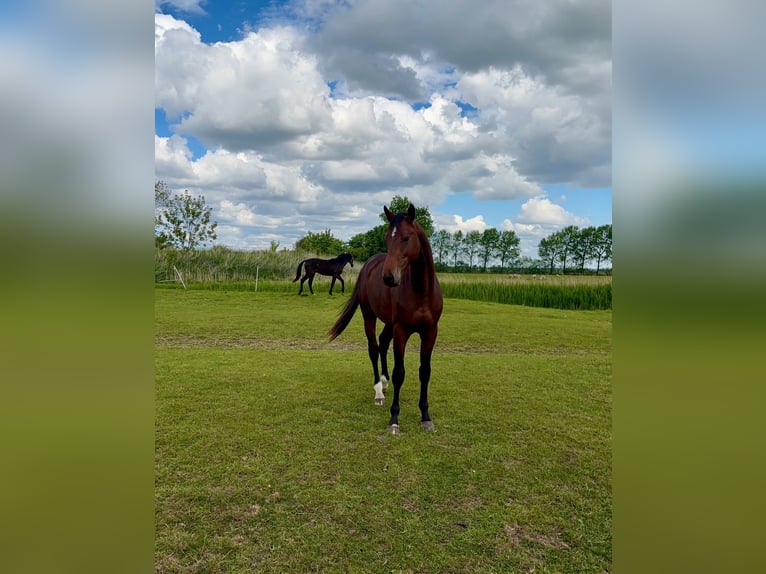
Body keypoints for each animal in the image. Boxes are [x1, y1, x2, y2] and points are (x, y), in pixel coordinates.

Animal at [328, 204, 443, 434]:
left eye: (406, 237)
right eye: (387, 239)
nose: (388, 277)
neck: (422, 292)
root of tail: (368, 265)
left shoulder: (430, 332)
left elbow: (425, 371)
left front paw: (426, 417)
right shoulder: (401, 331)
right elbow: (400, 372)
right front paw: (394, 420)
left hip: (389, 322)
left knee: (382, 343)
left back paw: (384, 381)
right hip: (369, 315)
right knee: (374, 348)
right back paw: (379, 392)